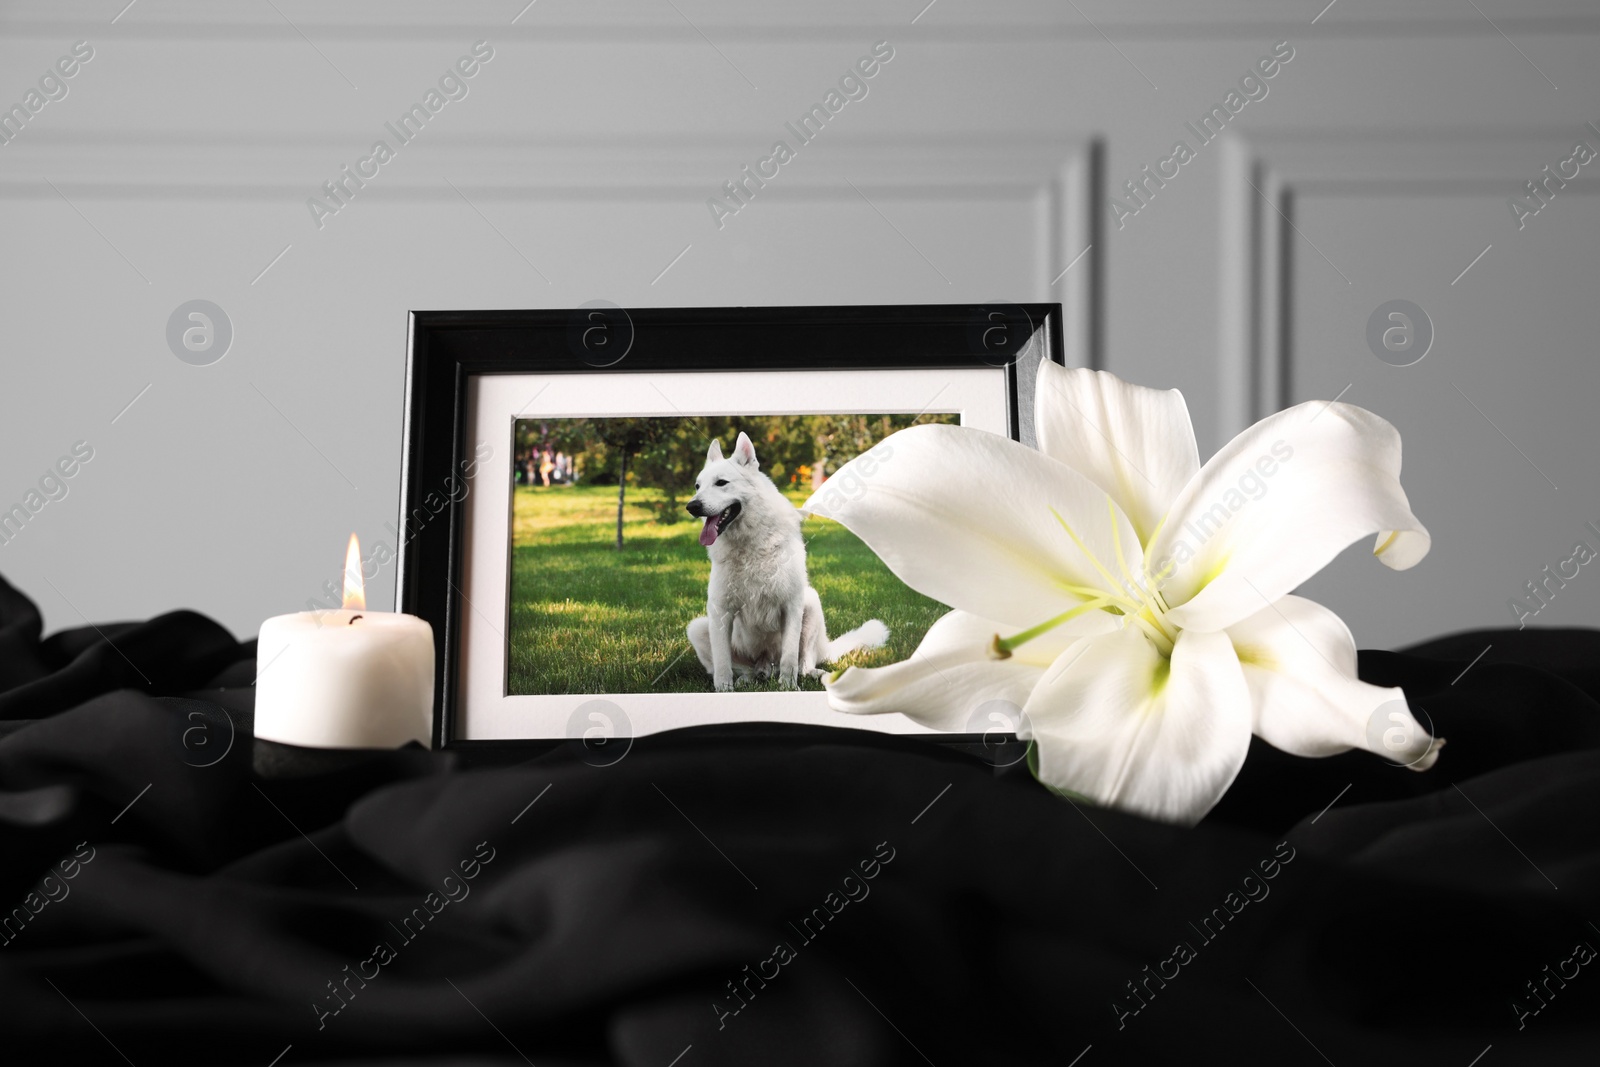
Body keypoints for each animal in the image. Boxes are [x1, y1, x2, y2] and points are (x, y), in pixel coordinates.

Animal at [684, 435, 896, 694]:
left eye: (721, 483)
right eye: (697, 486)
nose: (691, 506)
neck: (751, 545)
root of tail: (766, 663)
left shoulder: (792, 605)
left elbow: (789, 657)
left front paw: (787, 688)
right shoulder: (720, 610)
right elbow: (723, 663)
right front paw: (724, 690)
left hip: (811, 602)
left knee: (803, 663)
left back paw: (814, 675)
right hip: (698, 628)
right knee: (744, 669)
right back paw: (749, 678)